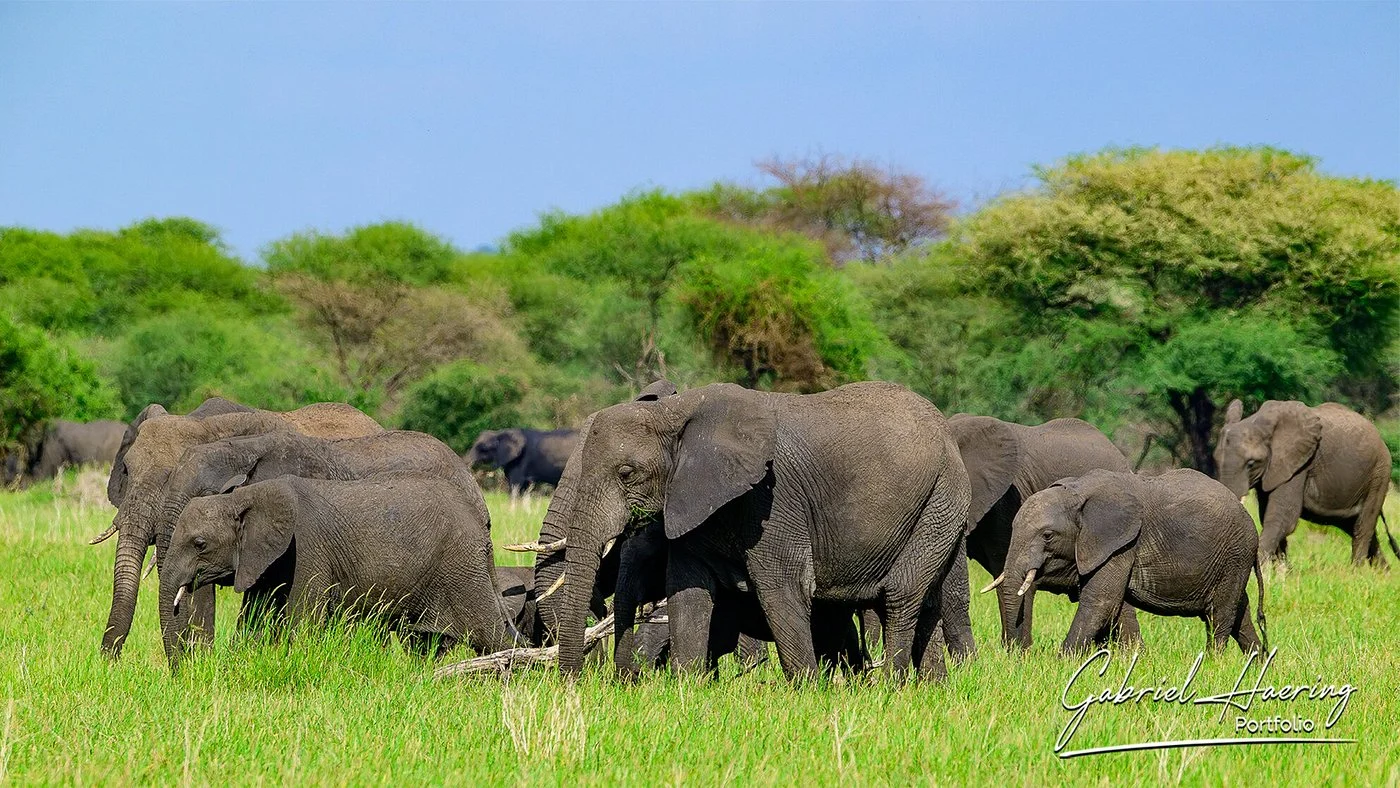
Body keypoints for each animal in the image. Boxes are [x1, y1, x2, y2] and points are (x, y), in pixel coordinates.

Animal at [163, 472, 523, 657]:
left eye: (199, 544)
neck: (245, 496)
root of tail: (482, 523)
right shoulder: (267, 560)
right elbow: (256, 619)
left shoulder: (308, 550)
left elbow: (303, 622)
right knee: (425, 643)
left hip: (461, 566)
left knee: (489, 634)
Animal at [551, 380, 971, 682]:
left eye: (626, 473)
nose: (575, 685)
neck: (676, 412)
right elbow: (687, 591)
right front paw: (688, 689)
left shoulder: (773, 500)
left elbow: (782, 586)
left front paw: (806, 692)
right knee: (927, 600)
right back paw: (931, 688)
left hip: (942, 496)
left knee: (899, 594)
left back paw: (890, 687)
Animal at [991, 469, 1266, 655]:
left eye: (1048, 536)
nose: (1020, 655)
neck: (1077, 493)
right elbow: (1117, 605)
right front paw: (1136, 657)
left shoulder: (1120, 542)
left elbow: (1101, 600)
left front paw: (1063, 662)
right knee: (1240, 612)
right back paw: (1260, 663)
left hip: (1234, 555)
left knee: (1220, 613)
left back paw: (1212, 661)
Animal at [1216, 399, 1396, 567]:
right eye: (1216, 460)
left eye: (1251, 463)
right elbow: (1267, 514)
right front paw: (1282, 572)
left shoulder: (1299, 464)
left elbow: (1283, 516)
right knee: (1354, 526)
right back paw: (1383, 573)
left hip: (1379, 474)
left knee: (1362, 527)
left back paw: (1355, 572)